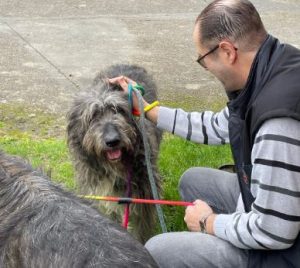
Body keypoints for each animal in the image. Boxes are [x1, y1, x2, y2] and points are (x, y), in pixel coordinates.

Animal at [67, 64, 163, 243]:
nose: (112, 141)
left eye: (118, 110)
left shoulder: (143, 195)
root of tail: (127, 64)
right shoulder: (102, 196)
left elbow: (141, 227)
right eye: (93, 116)